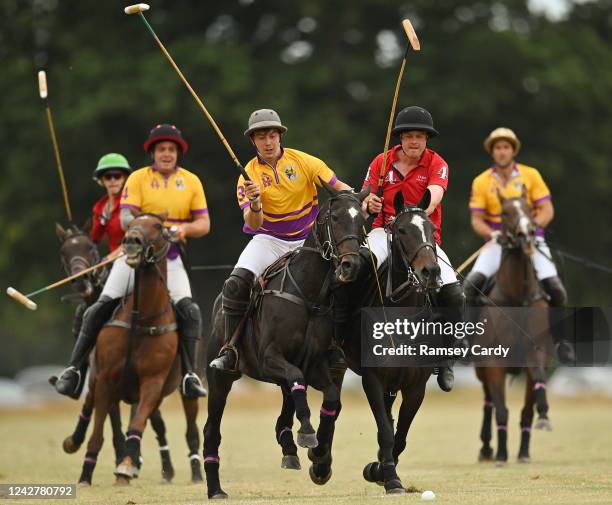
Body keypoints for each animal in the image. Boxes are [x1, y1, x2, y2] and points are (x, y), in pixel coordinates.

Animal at [77, 214, 180, 484]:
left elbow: (137, 424)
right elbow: (98, 432)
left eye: (158, 226)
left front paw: (126, 464)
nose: (132, 241)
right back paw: (73, 441)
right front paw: (86, 474)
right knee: (89, 404)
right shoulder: (105, 379)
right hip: (96, 378)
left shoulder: (153, 382)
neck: (141, 317)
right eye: (131, 223)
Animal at [204, 186, 368, 500]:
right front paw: (307, 434)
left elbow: (328, 395)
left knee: (286, 405)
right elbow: (297, 380)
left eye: (362, 219)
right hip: (220, 376)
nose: (351, 265)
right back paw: (215, 489)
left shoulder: (314, 364)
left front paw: (317, 452)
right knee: (211, 428)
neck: (308, 293)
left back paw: (289, 446)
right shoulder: (270, 358)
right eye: (336, 218)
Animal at [470, 189, 552, 464]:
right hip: (480, 366)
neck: (518, 295)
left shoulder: (535, 352)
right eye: (504, 212)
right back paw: (487, 448)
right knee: (488, 402)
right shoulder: (494, 361)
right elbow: (501, 410)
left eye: (529, 208)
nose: (526, 233)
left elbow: (530, 402)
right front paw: (501, 455)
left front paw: (543, 417)